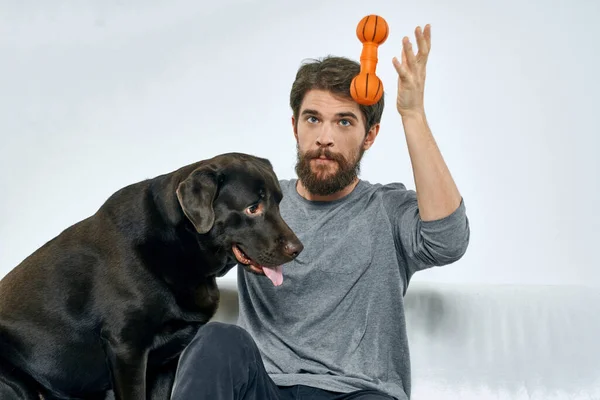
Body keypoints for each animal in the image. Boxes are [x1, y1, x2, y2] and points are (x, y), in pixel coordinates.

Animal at [0, 152, 300, 398]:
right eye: (253, 208)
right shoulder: (126, 348)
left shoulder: (167, 358)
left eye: (279, 203)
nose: (298, 248)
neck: (180, 245)